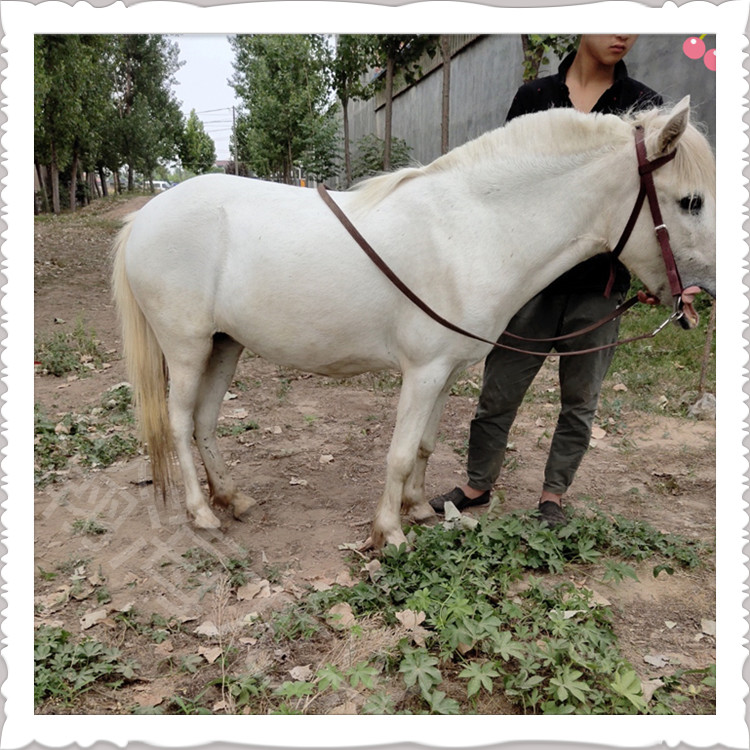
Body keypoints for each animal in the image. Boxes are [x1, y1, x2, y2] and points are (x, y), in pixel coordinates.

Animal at [112, 96, 715, 550]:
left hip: (225, 344)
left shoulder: (446, 372)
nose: (700, 296)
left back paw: (232, 497)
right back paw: (201, 513)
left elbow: (424, 445)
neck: (474, 230)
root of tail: (146, 216)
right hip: (187, 347)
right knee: (179, 422)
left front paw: (422, 509)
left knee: (206, 421)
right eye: (691, 201)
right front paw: (390, 533)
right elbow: (400, 452)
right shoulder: (422, 371)